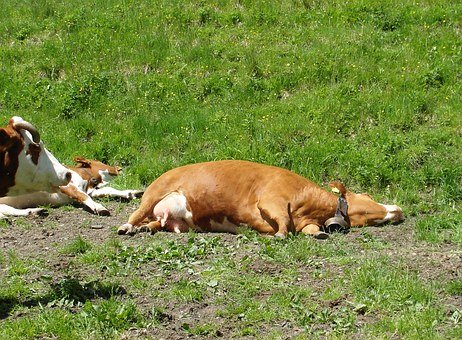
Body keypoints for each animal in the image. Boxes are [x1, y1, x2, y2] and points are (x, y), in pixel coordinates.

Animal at [0, 157, 143, 215]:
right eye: (101, 162)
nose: (119, 167)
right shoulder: (67, 186)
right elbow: (84, 196)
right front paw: (99, 207)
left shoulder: (90, 190)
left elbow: (108, 189)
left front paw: (132, 192)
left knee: (9, 210)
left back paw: (35, 211)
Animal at [118, 160, 404, 238]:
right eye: (366, 197)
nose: (398, 209)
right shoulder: (271, 199)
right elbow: (283, 222)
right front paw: (280, 235)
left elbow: (308, 230)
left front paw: (320, 234)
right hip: (155, 193)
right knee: (136, 213)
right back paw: (127, 227)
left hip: (174, 220)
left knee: (155, 222)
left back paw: (146, 229)